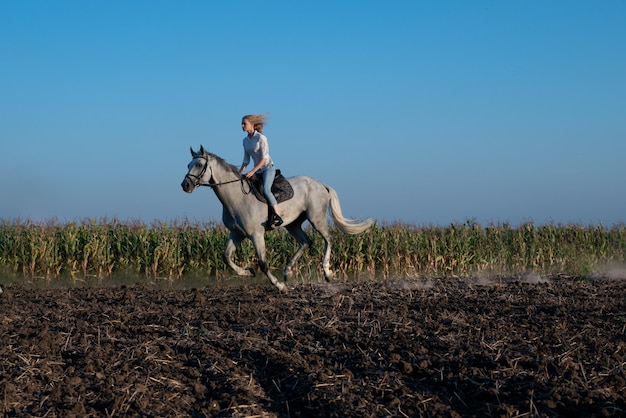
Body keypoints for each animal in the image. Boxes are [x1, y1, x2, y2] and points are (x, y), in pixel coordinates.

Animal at [183, 145, 372, 292]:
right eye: (188, 165)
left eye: (199, 164)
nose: (185, 185)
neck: (237, 198)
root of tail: (320, 184)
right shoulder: (237, 233)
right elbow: (226, 257)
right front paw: (248, 272)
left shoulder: (256, 234)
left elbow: (263, 263)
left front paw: (279, 285)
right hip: (293, 224)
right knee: (305, 242)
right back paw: (287, 271)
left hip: (316, 219)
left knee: (328, 239)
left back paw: (326, 272)